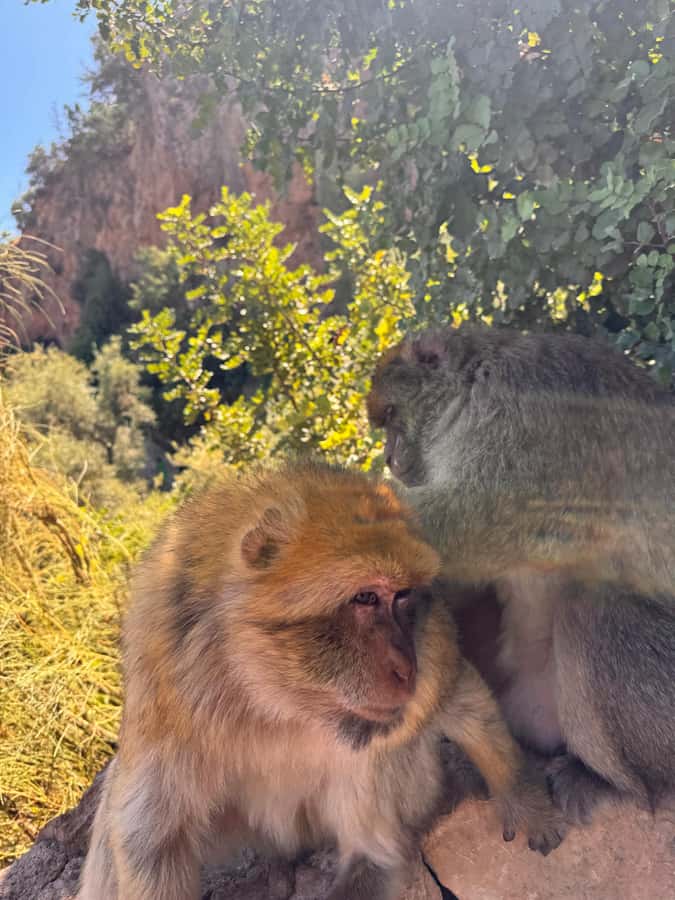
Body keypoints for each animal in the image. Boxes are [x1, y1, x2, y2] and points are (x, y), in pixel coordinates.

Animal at [77, 461, 564, 900]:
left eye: (403, 596)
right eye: (365, 597)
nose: (406, 669)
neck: (275, 699)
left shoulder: (429, 648)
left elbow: (458, 696)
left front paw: (521, 795)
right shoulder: (165, 685)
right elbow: (151, 841)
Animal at [367, 326, 675, 826]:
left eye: (392, 416)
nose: (390, 456)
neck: (468, 393)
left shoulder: (524, 410)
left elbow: (474, 517)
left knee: (591, 609)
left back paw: (620, 782)